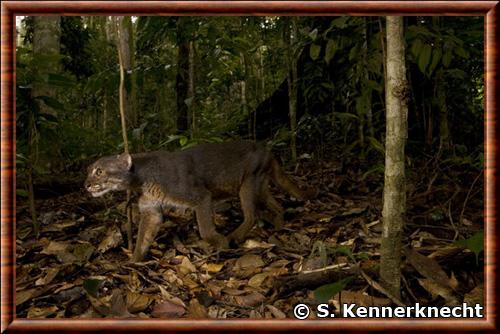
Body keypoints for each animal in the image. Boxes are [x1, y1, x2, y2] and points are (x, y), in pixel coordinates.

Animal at [84, 141, 314, 260]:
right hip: (261, 185)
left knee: (252, 215)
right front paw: (134, 262)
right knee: (276, 204)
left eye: (99, 171)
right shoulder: (151, 210)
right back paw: (279, 225)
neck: (141, 179)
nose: (85, 184)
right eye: (89, 170)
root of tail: (267, 149)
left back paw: (233, 237)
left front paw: (221, 244)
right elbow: (143, 238)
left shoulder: (201, 197)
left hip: (247, 184)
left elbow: (205, 230)